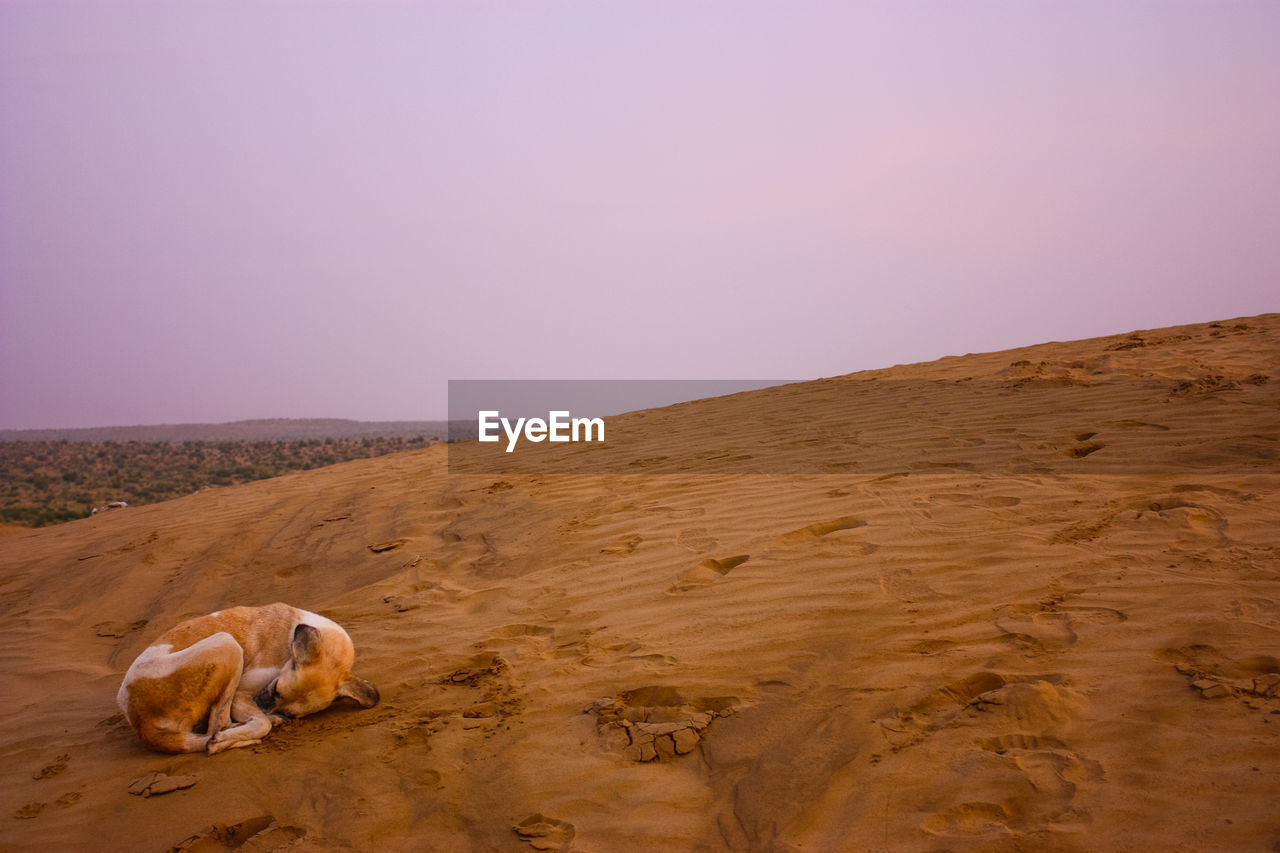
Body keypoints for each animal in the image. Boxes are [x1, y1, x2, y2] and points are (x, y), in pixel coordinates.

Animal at [117, 596, 376, 753]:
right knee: (217, 725)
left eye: (291, 714)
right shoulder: (242, 693)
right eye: (276, 688)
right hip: (227, 642)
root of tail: (141, 723)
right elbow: (259, 723)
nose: (261, 703)